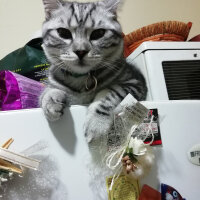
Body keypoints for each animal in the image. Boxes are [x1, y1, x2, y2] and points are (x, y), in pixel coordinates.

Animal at [40, 0, 147, 142]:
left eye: (99, 33)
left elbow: (109, 93)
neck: (80, 78)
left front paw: (96, 125)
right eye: (63, 33)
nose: (80, 51)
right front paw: (51, 104)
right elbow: (48, 91)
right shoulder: (53, 84)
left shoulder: (134, 83)